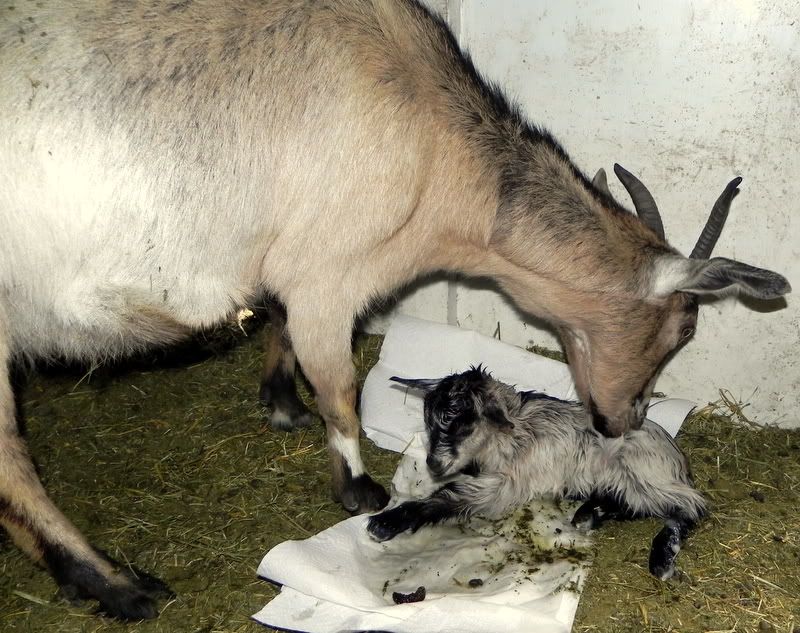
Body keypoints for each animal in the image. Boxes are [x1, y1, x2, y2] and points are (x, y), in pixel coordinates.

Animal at [367, 367, 706, 580]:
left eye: (463, 425)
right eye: (428, 424)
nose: (434, 465)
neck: (506, 434)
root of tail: (679, 460)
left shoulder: (504, 484)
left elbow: (447, 497)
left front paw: (386, 522)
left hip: (645, 473)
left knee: (691, 507)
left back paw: (662, 558)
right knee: (633, 505)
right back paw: (589, 514)